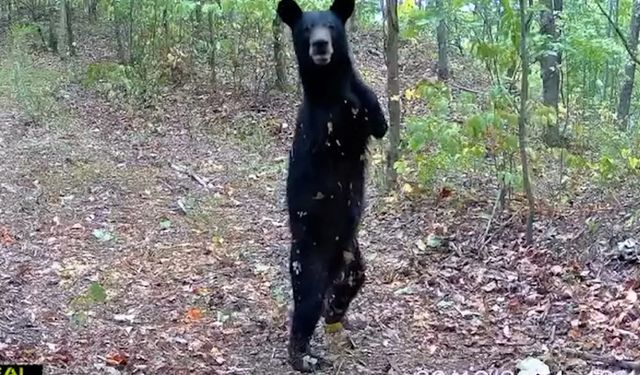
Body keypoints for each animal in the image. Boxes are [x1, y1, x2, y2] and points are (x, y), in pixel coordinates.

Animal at [278, 0, 388, 372]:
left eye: (331, 26)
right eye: (306, 29)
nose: (321, 45)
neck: (329, 84)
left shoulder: (365, 106)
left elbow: (377, 118)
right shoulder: (323, 123)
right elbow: (336, 129)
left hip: (351, 253)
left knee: (350, 283)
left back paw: (335, 316)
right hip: (309, 257)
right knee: (306, 304)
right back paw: (303, 356)